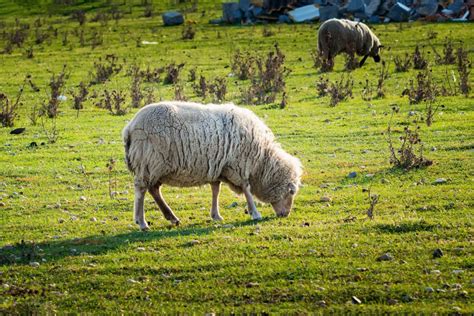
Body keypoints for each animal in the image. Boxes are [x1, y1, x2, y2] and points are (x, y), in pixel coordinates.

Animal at [121, 100, 300, 230]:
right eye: (291, 191)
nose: (286, 214)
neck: (262, 160)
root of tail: (129, 127)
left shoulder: (219, 168)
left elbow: (216, 190)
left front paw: (216, 215)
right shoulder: (239, 166)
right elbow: (247, 189)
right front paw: (255, 213)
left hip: (155, 167)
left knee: (154, 189)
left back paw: (171, 217)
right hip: (148, 162)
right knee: (141, 190)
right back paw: (142, 222)